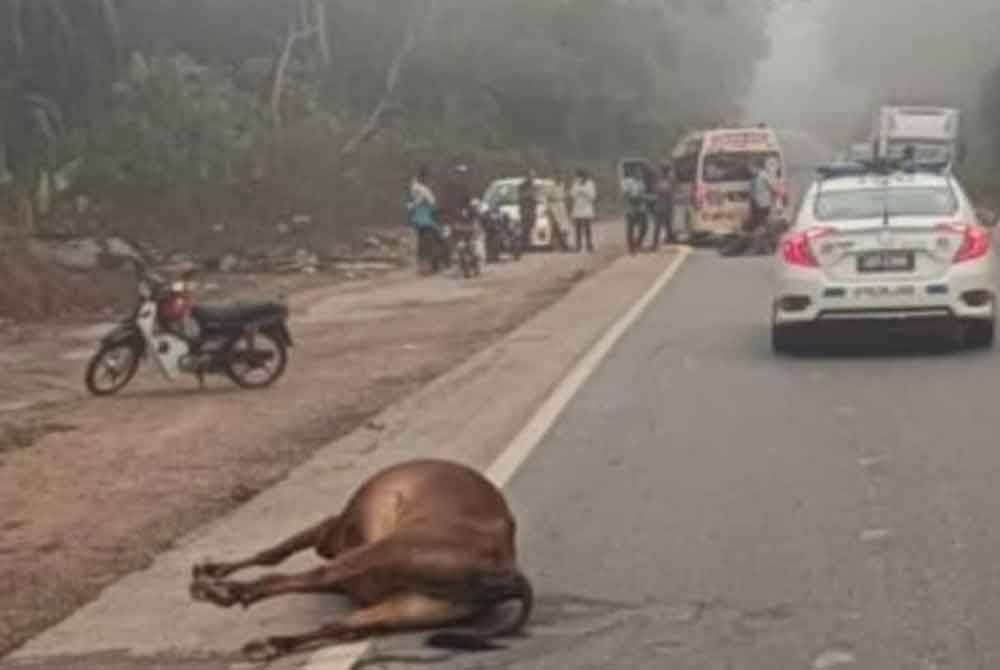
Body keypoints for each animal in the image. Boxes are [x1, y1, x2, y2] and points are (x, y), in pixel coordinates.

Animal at [187, 460, 532, 664]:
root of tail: (508, 571)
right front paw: (213, 569)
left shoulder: (329, 531)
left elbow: (276, 552)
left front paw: (214, 571)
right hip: (410, 609)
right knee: (342, 625)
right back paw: (270, 643)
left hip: (384, 551)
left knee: (310, 577)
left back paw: (225, 592)